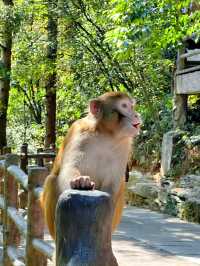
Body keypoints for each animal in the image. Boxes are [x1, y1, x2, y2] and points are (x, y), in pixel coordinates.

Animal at [40, 91, 141, 239]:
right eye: (124, 106)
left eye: (131, 106)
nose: (137, 115)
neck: (106, 134)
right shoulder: (79, 132)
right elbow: (69, 168)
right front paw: (81, 181)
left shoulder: (125, 144)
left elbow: (114, 181)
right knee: (51, 180)